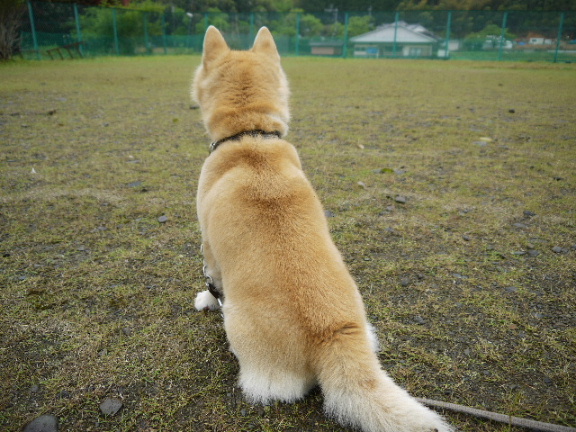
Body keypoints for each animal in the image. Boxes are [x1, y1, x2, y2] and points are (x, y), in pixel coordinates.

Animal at [191, 26, 452, 432]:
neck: (251, 135)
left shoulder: (209, 246)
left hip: (244, 333)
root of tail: (332, 333)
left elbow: (210, 279)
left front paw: (205, 300)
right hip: (364, 324)